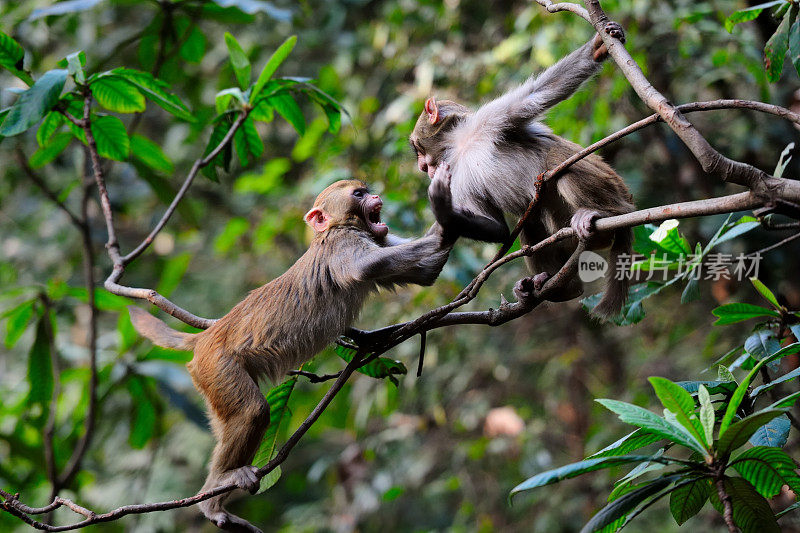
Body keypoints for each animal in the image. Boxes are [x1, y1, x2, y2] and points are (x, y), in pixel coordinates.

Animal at [126, 180, 450, 532]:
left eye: (367, 189)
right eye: (359, 194)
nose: (376, 196)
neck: (337, 228)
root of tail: (207, 336)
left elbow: (427, 273)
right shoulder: (342, 244)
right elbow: (364, 267)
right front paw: (449, 214)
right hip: (216, 366)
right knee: (251, 412)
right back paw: (215, 492)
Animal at [412, 22, 632, 318]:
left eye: (417, 147)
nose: (422, 166)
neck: (460, 146)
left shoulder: (490, 119)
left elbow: (539, 94)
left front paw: (597, 48)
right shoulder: (456, 175)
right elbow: (498, 229)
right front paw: (445, 213)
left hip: (611, 185)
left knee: (563, 171)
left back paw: (609, 212)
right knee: (530, 218)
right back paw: (563, 288)